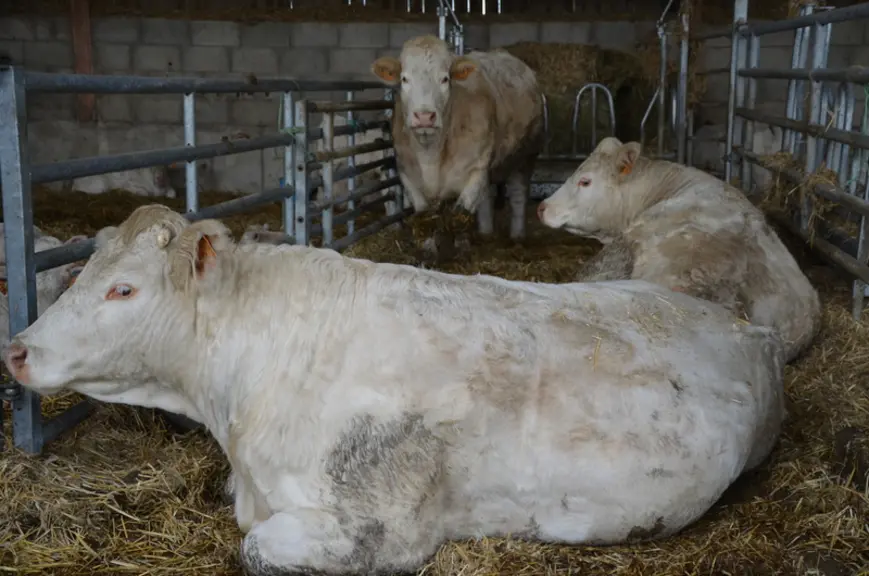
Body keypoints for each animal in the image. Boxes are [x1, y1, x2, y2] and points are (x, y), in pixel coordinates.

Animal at [4, 204, 785, 576]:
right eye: (83, 270)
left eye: (123, 289)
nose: (17, 350)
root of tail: (746, 326)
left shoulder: (378, 527)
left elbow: (254, 549)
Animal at [370, 35, 545, 242]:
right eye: (404, 79)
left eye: (445, 79)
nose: (424, 116)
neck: (430, 155)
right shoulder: (407, 175)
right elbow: (426, 221)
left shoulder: (476, 170)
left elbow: (459, 220)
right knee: (486, 198)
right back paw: (486, 232)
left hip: (526, 156)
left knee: (518, 195)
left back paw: (517, 236)